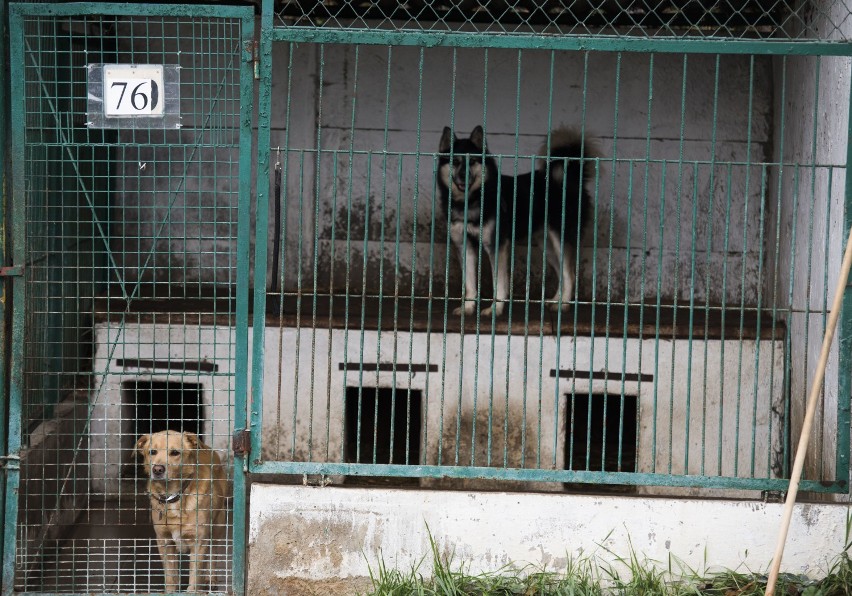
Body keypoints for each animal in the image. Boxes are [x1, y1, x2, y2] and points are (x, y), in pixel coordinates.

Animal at [135, 430, 226, 592]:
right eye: (152, 452)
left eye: (175, 453)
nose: (157, 469)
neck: (173, 496)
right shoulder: (164, 541)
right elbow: (170, 575)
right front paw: (171, 591)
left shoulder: (199, 542)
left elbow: (195, 575)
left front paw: (193, 590)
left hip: (218, 526)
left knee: (213, 553)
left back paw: (211, 578)